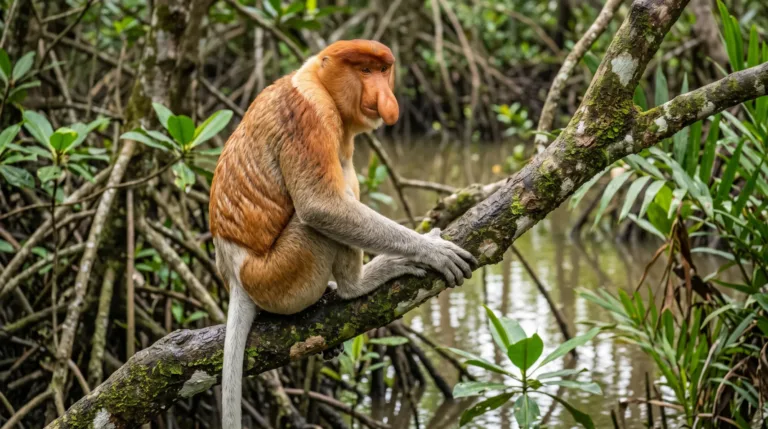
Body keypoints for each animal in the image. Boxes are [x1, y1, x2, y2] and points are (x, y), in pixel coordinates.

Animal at [209, 39, 476, 429]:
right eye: (364, 71)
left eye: (383, 70)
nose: (386, 98)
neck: (318, 81)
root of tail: (233, 274)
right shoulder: (312, 116)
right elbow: (321, 205)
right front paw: (431, 250)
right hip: (279, 276)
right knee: (320, 218)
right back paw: (358, 283)